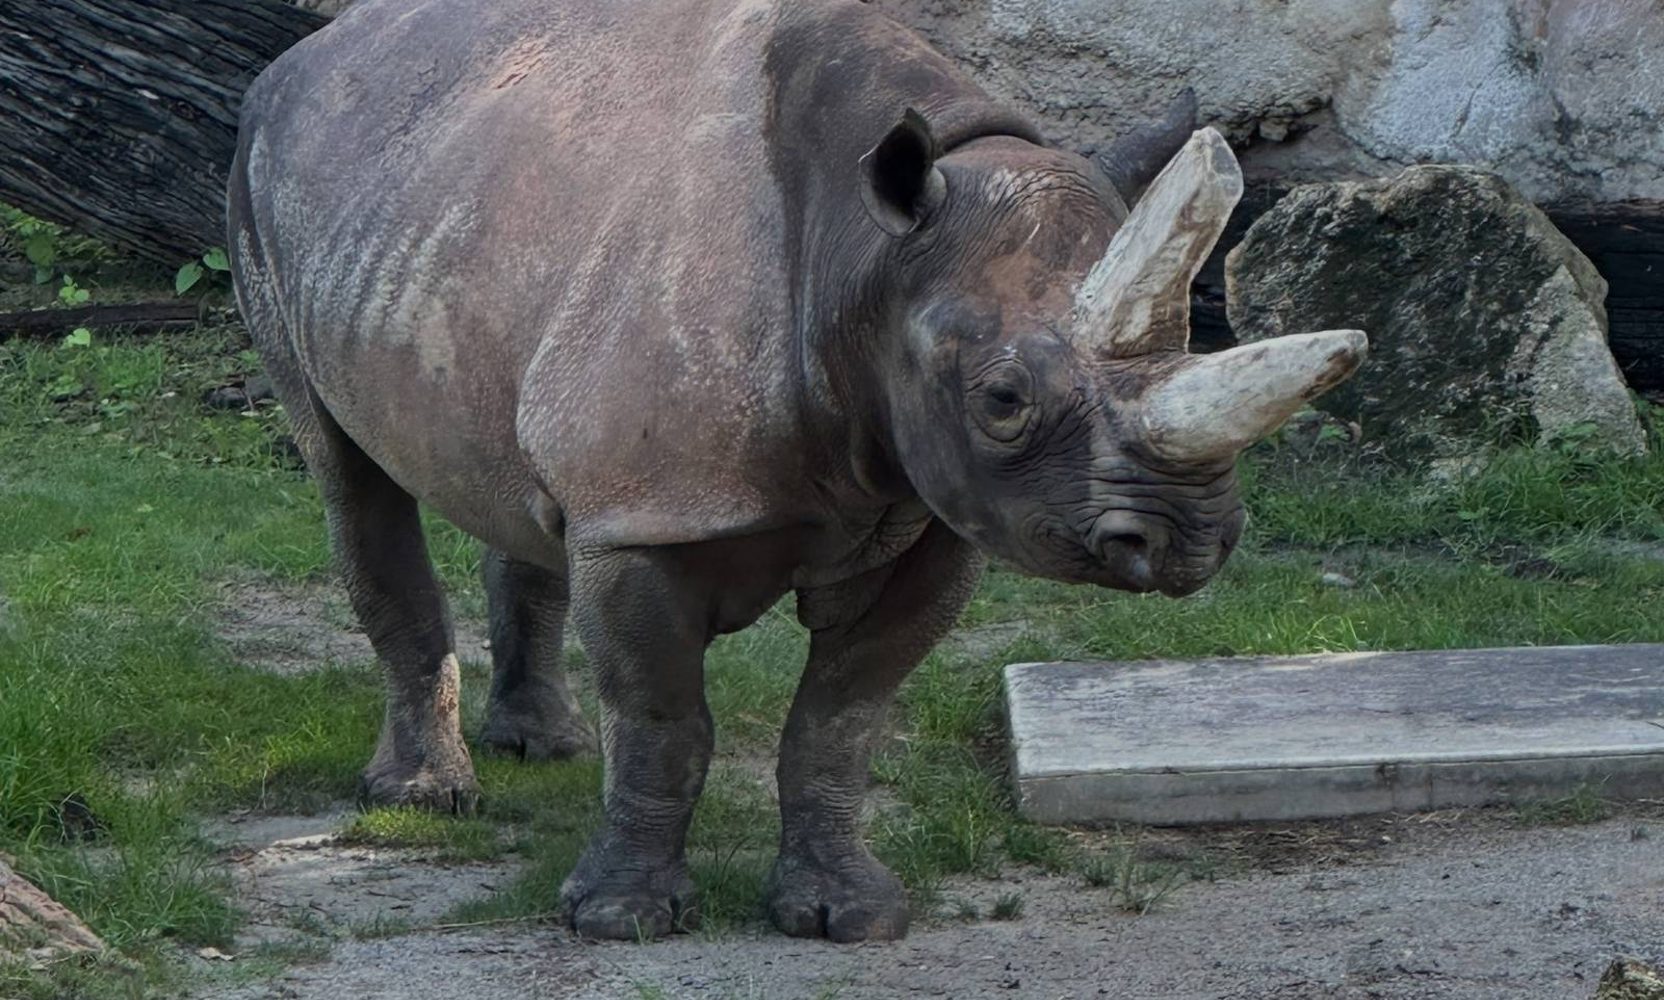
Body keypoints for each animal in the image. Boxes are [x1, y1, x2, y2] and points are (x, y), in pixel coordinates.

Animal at [228, 0, 1365, 942]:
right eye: (1002, 400)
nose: (1188, 541)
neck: (870, 253)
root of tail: (317, 48)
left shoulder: (925, 516)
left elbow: (840, 720)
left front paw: (844, 915)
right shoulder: (650, 517)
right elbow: (663, 721)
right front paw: (620, 919)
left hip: (454, 205)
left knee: (525, 488)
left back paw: (542, 745)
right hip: (259, 177)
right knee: (347, 474)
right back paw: (424, 798)